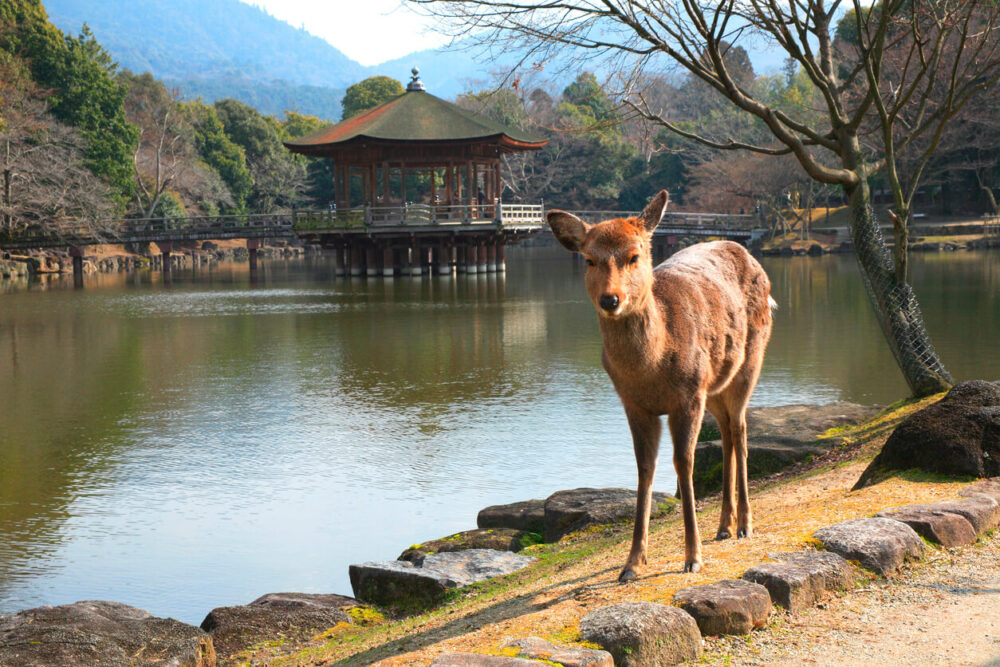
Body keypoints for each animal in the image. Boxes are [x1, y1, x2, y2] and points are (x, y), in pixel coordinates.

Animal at [546, 190, 775, 581]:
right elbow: (644, 468)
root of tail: (747, 253)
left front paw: (692, 557)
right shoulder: (634, 403)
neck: (652, 368)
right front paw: (631, 564)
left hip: (750, 360)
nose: (610, 299)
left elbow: (683, 462)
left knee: (741, 428)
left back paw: (744, 524)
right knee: (727, 432)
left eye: (634, 255)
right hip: (715, 385)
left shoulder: (688, 395)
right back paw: (724, 526)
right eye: (589, 260)